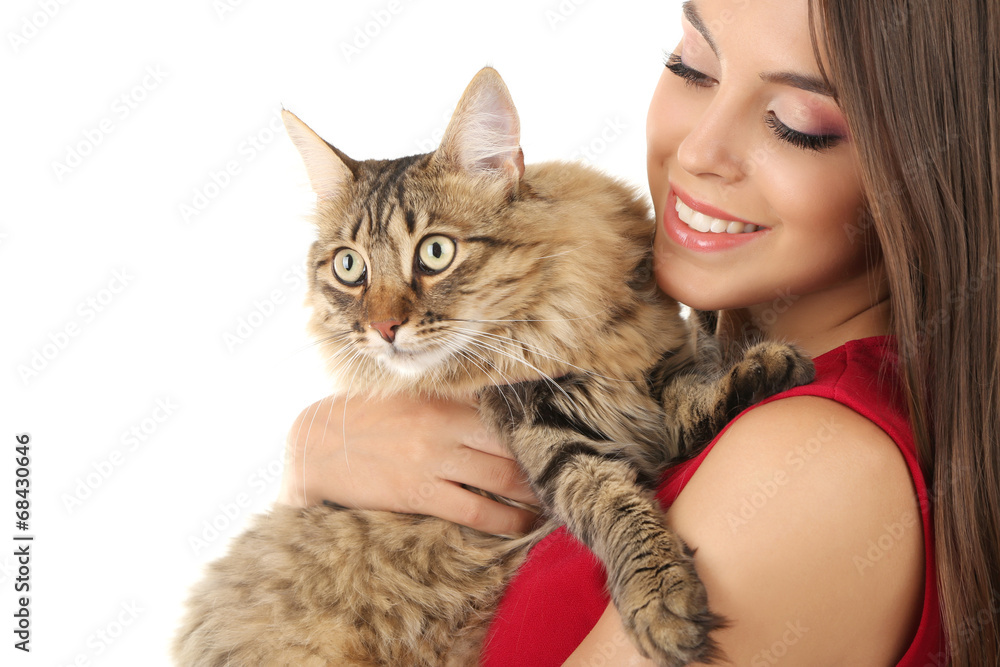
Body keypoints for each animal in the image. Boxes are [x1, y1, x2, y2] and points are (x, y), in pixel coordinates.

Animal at [172, 65, 812, 664]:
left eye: (435, 252)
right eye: (349, 267)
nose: (383, 328)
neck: (555, 327)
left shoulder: (658, 373)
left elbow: (695, 397)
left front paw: (765, 368)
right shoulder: (548, 439)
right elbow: (616, 510)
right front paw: (660, 603)